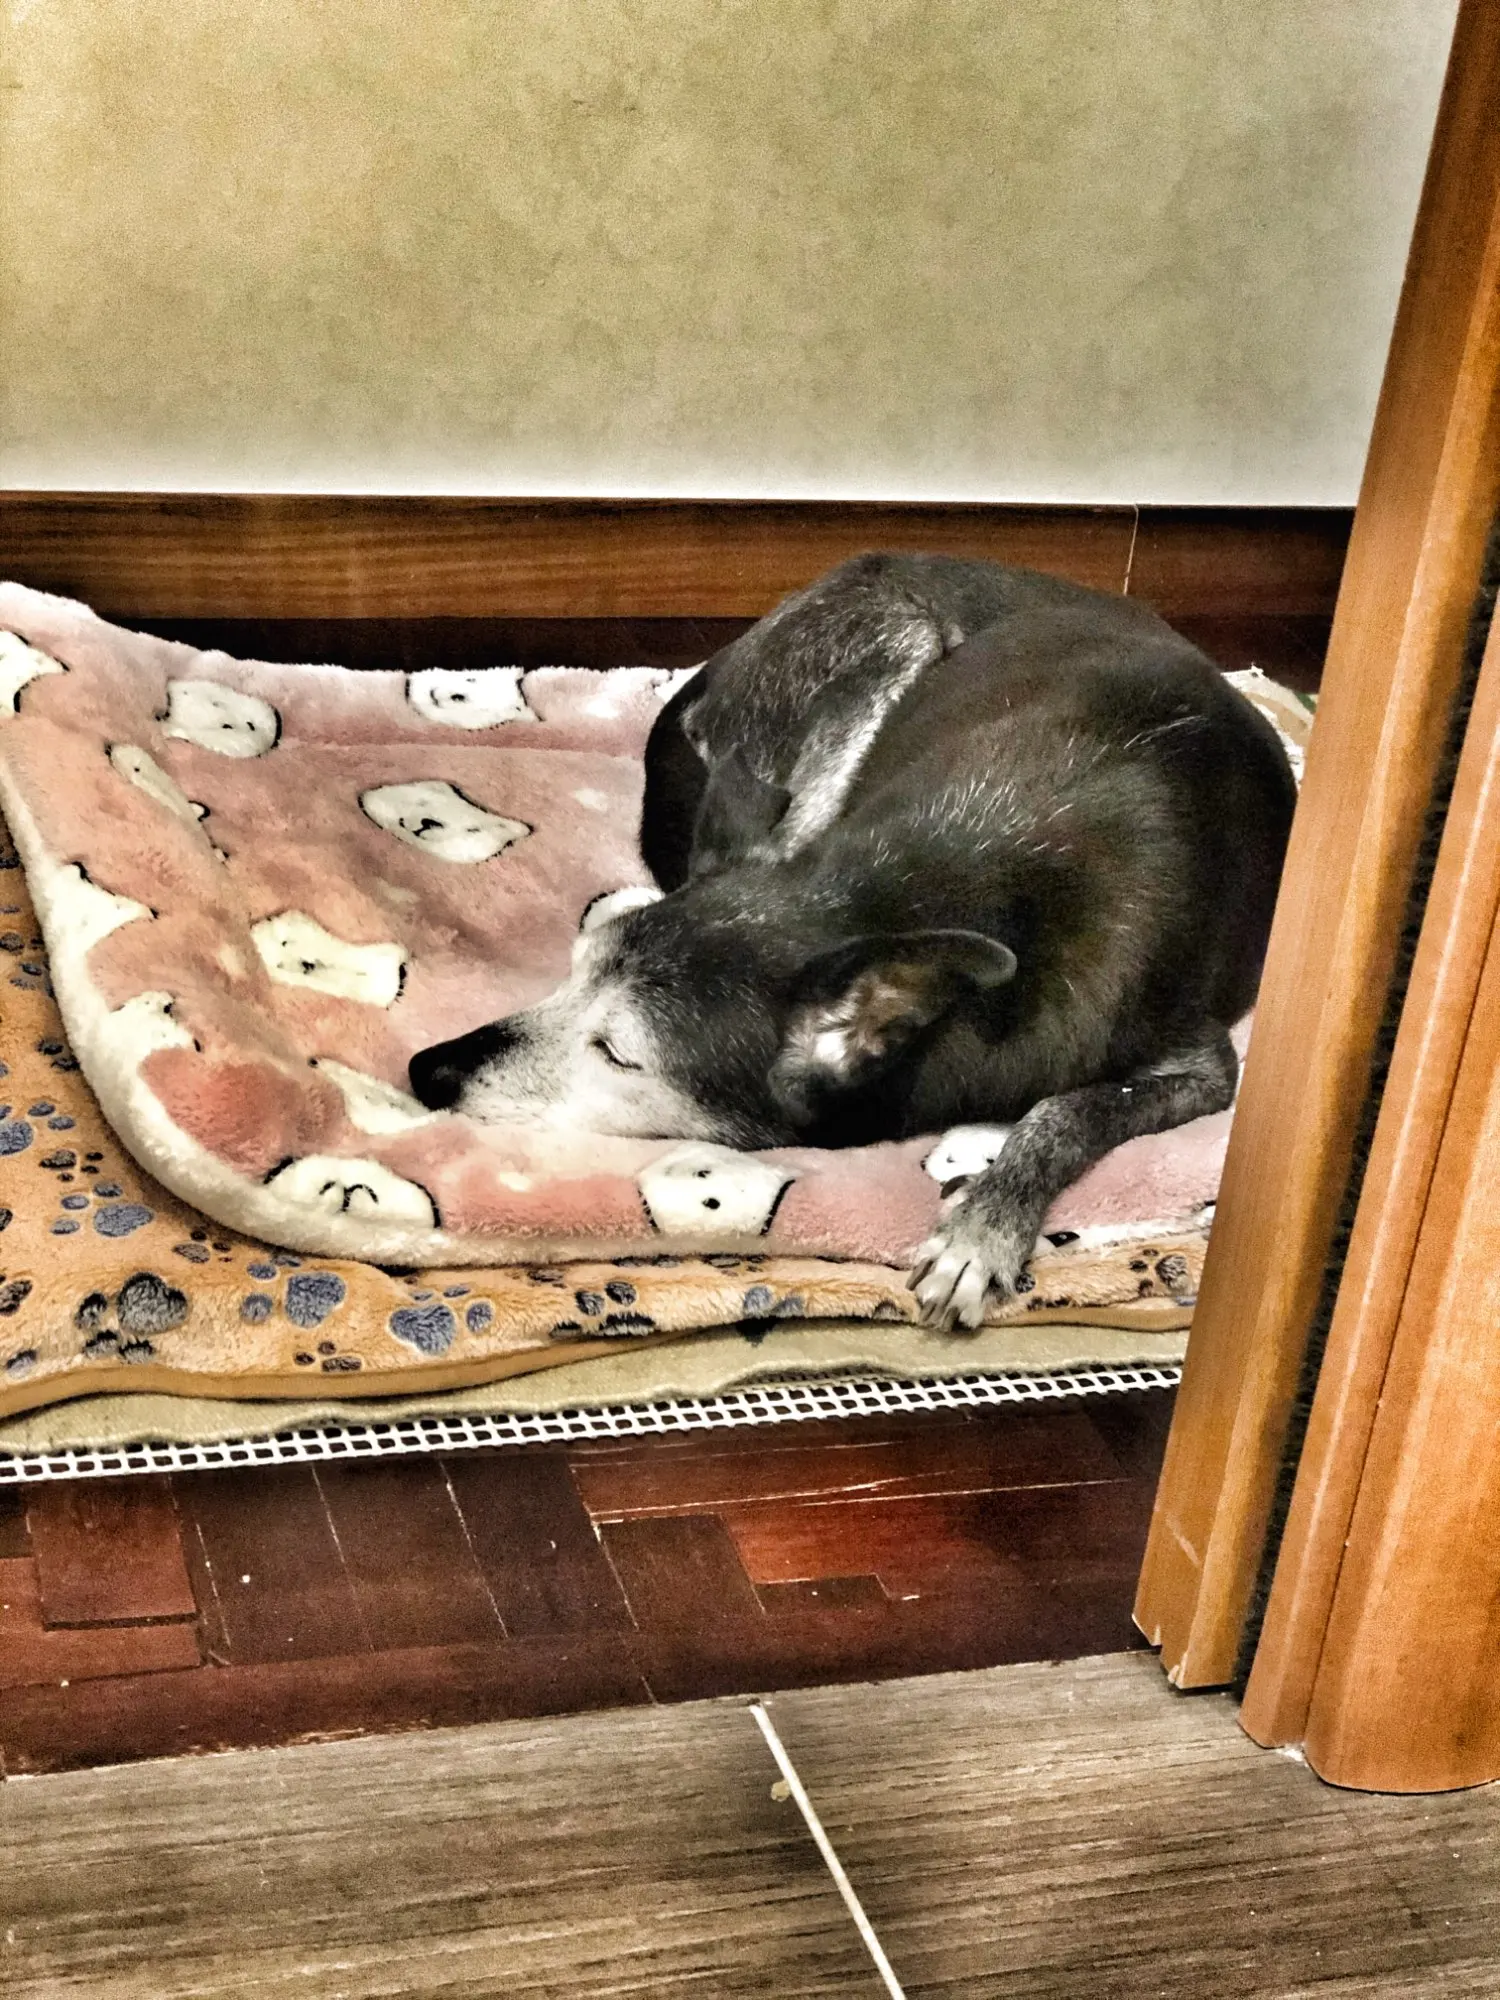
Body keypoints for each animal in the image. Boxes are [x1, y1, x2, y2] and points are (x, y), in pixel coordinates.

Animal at [409, 554, 1296, 1328]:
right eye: (571, 974)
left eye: (618, 1053)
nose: (423, 1069)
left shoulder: (1204, 1069)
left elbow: (1065, 1111)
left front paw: (983, 1228)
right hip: (882, 652)